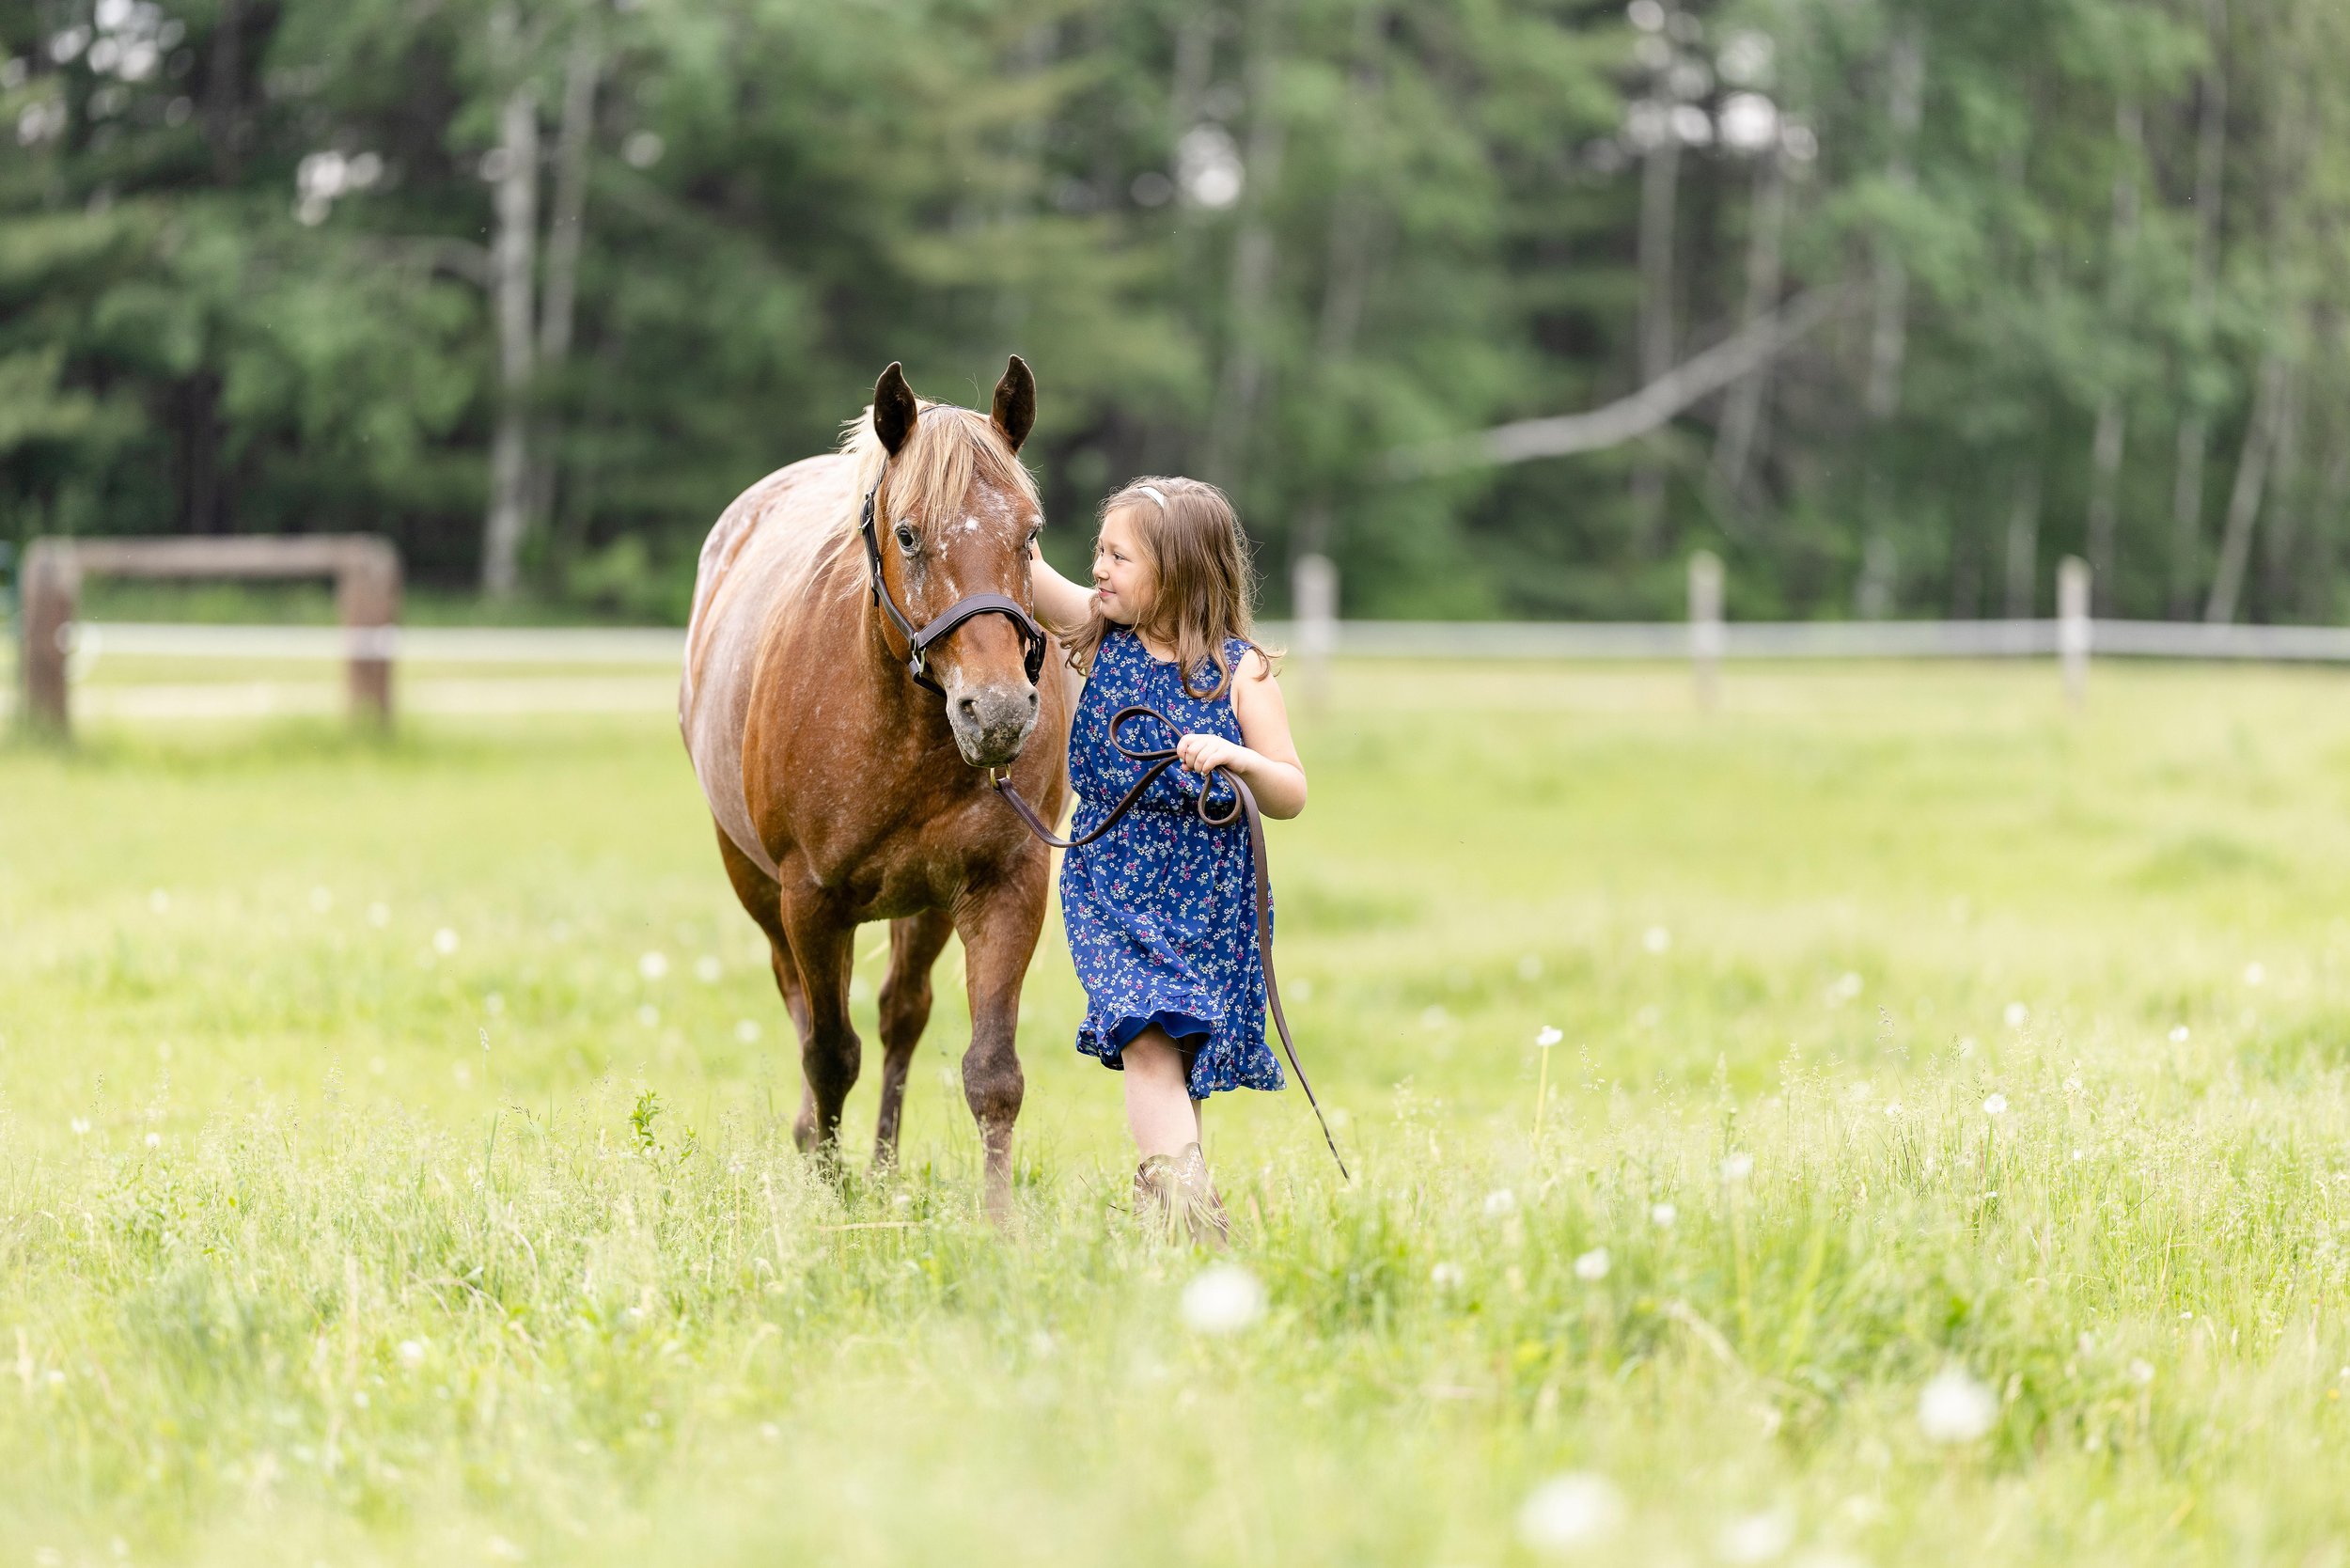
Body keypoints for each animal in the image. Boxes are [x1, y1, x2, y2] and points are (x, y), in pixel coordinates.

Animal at [682, 362, 1076, 1222]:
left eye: (1029, 534)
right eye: (908, 534)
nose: (998, 711)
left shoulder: (1005, 885)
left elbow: (993, 1075)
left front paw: (1000, 1228)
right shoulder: (810, 899)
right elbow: (830, 1055)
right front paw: (831, 1200)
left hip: (923, 907)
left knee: (902, 1014)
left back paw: (886, 1169)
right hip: (759, 889)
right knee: (806, 1014)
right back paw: (814, 1145)